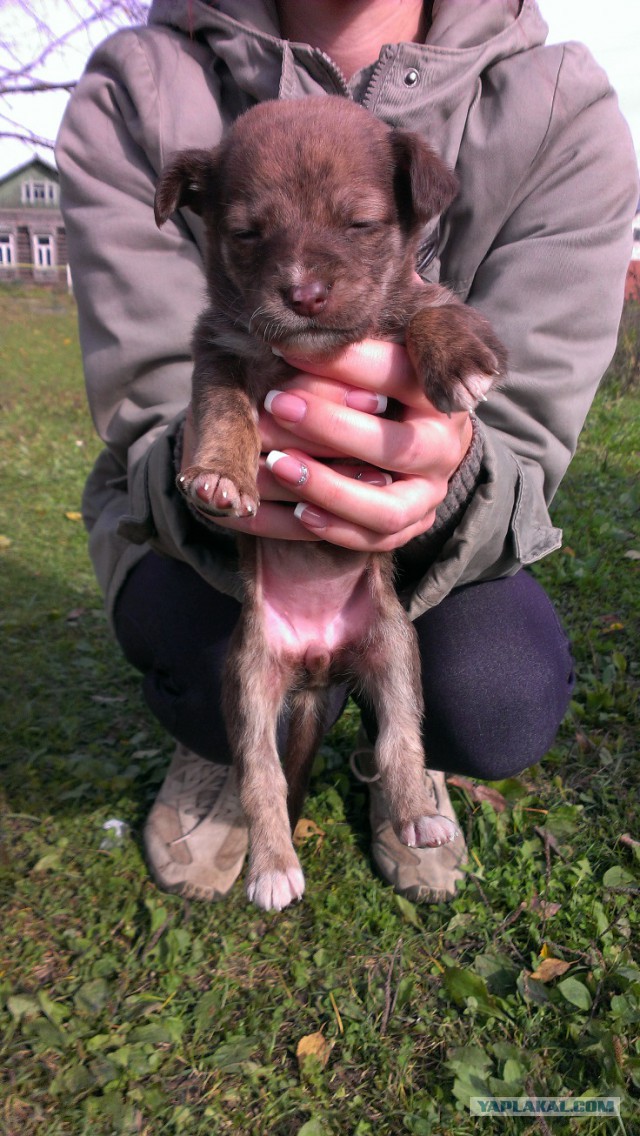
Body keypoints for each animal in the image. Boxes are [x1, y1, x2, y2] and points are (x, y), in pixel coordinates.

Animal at [155, 97, 506, 913]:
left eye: (361, 224)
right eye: (248, 233)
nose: (304, 294)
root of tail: (316, 663)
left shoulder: (416, 298)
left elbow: (427, 307)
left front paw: (458, 361)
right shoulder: (217, 347)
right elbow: (222, 404)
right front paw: (219, 475)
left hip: (394, 652)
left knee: (400, 740)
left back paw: (417, 819)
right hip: (250, 682)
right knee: (259, 775)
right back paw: (273, 867)